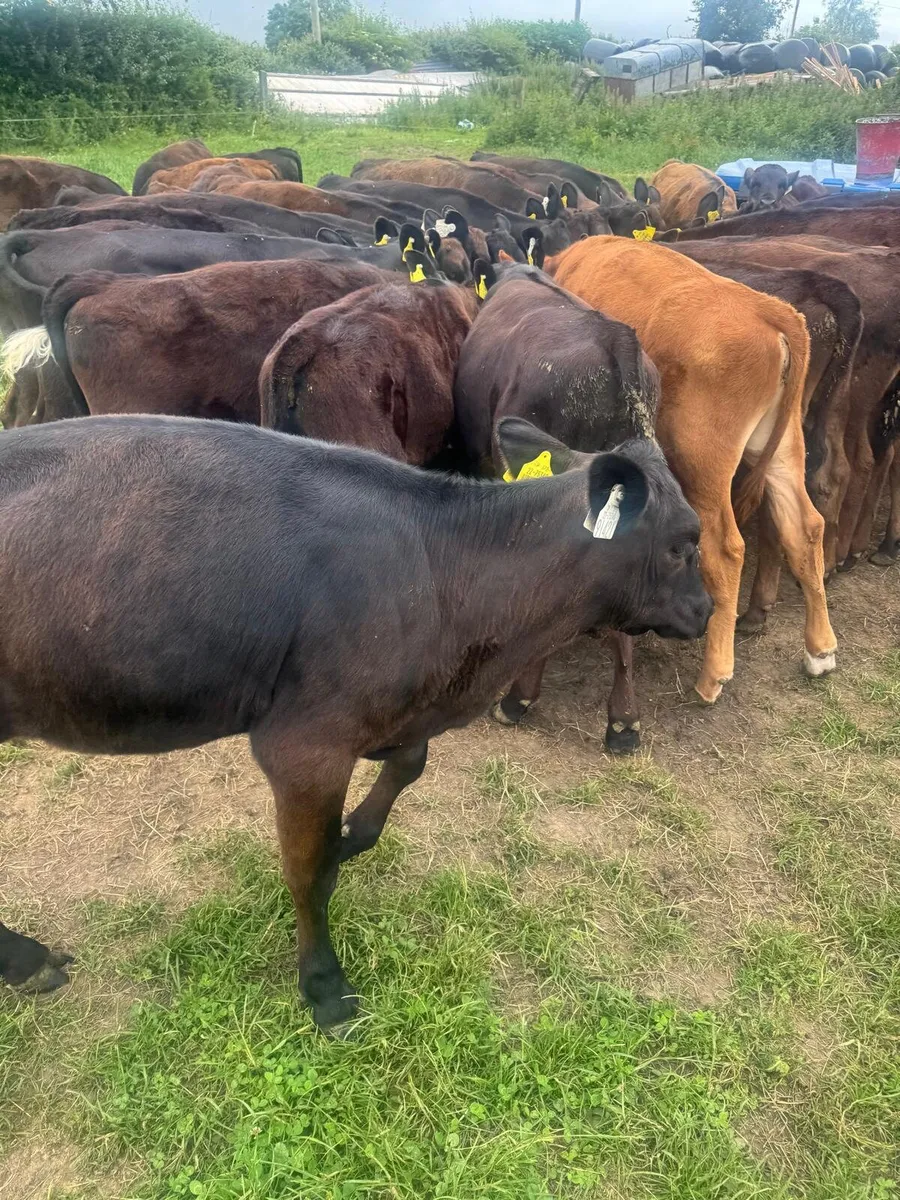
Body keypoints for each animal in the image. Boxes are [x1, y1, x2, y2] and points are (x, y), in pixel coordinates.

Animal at [0, 413, 710, 1028]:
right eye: (683, 544)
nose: (705, 611)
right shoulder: (304, 745)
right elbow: (306, 872)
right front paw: (324, 986)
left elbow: (406, 767)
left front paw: (349, 838)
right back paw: (29, 961)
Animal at [545, 236, 837, 703]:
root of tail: (768, 310)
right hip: (782, 449)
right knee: (805, 527)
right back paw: (820, 650)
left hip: (703, 466)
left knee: (725, 550)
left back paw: (713, 676)